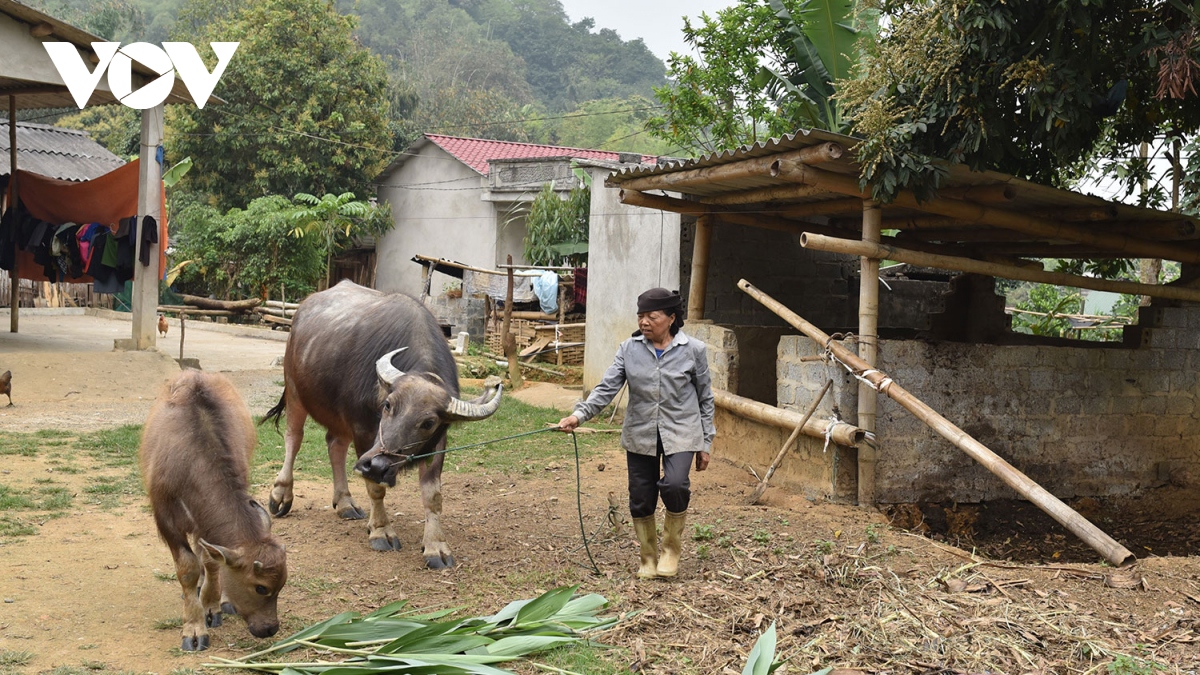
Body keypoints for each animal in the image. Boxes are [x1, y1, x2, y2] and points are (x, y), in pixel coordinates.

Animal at [140, 367, 288, 648]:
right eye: (260, 587)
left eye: (282, 584)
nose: (270, 628)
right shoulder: (166, 520)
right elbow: (187, 568)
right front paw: (194, 629)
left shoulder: (205, 523)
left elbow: (210, 560)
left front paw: (211, 607)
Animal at [262, 278, 501, 566]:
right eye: (387, 405)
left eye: (428, 422)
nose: (377, 465)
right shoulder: (363, 431)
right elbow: (375, 489)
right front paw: (380, 531)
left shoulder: (437, 442)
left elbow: (433, 496)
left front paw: (436, 546)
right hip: (295, 388)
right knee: (294, 438)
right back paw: (281, 495)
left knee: (335, 445)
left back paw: (345, 502)